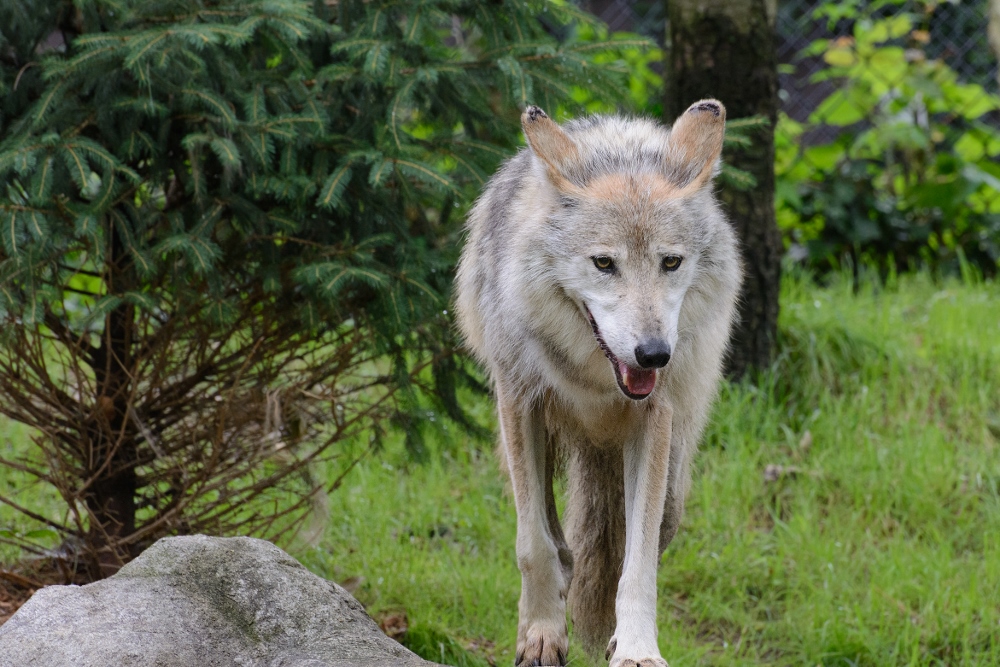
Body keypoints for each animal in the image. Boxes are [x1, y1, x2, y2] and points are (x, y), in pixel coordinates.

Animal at [454, 99, 744, 667]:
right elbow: (533, 544)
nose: (653, 354)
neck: (598, 383)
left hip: (676, 476)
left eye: (670, 261)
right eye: (604, 263)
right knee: (553, 534)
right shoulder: (518, 400)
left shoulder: (654, 420)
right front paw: (541, 635)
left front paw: (635, 648)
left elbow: (638, 564)